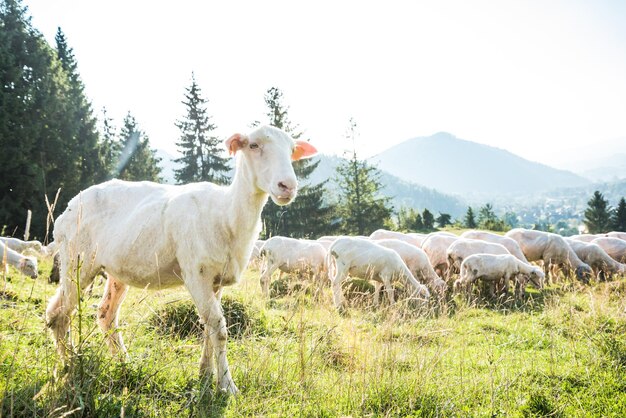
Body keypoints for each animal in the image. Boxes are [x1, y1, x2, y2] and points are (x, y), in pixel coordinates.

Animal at [45, 125, 314, 396]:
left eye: (292, 150)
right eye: (253, 145)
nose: (287, 186)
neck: (226, 213)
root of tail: (67, 208)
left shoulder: (216, 280)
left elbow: (209, 328)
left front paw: (205, 375)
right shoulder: (196, 274)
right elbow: (219, 329)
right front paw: (227, 386)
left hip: (114, 271)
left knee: (104, 314)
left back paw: (123, 363)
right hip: (77, 260)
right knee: (59, 313)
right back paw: (69, 365)